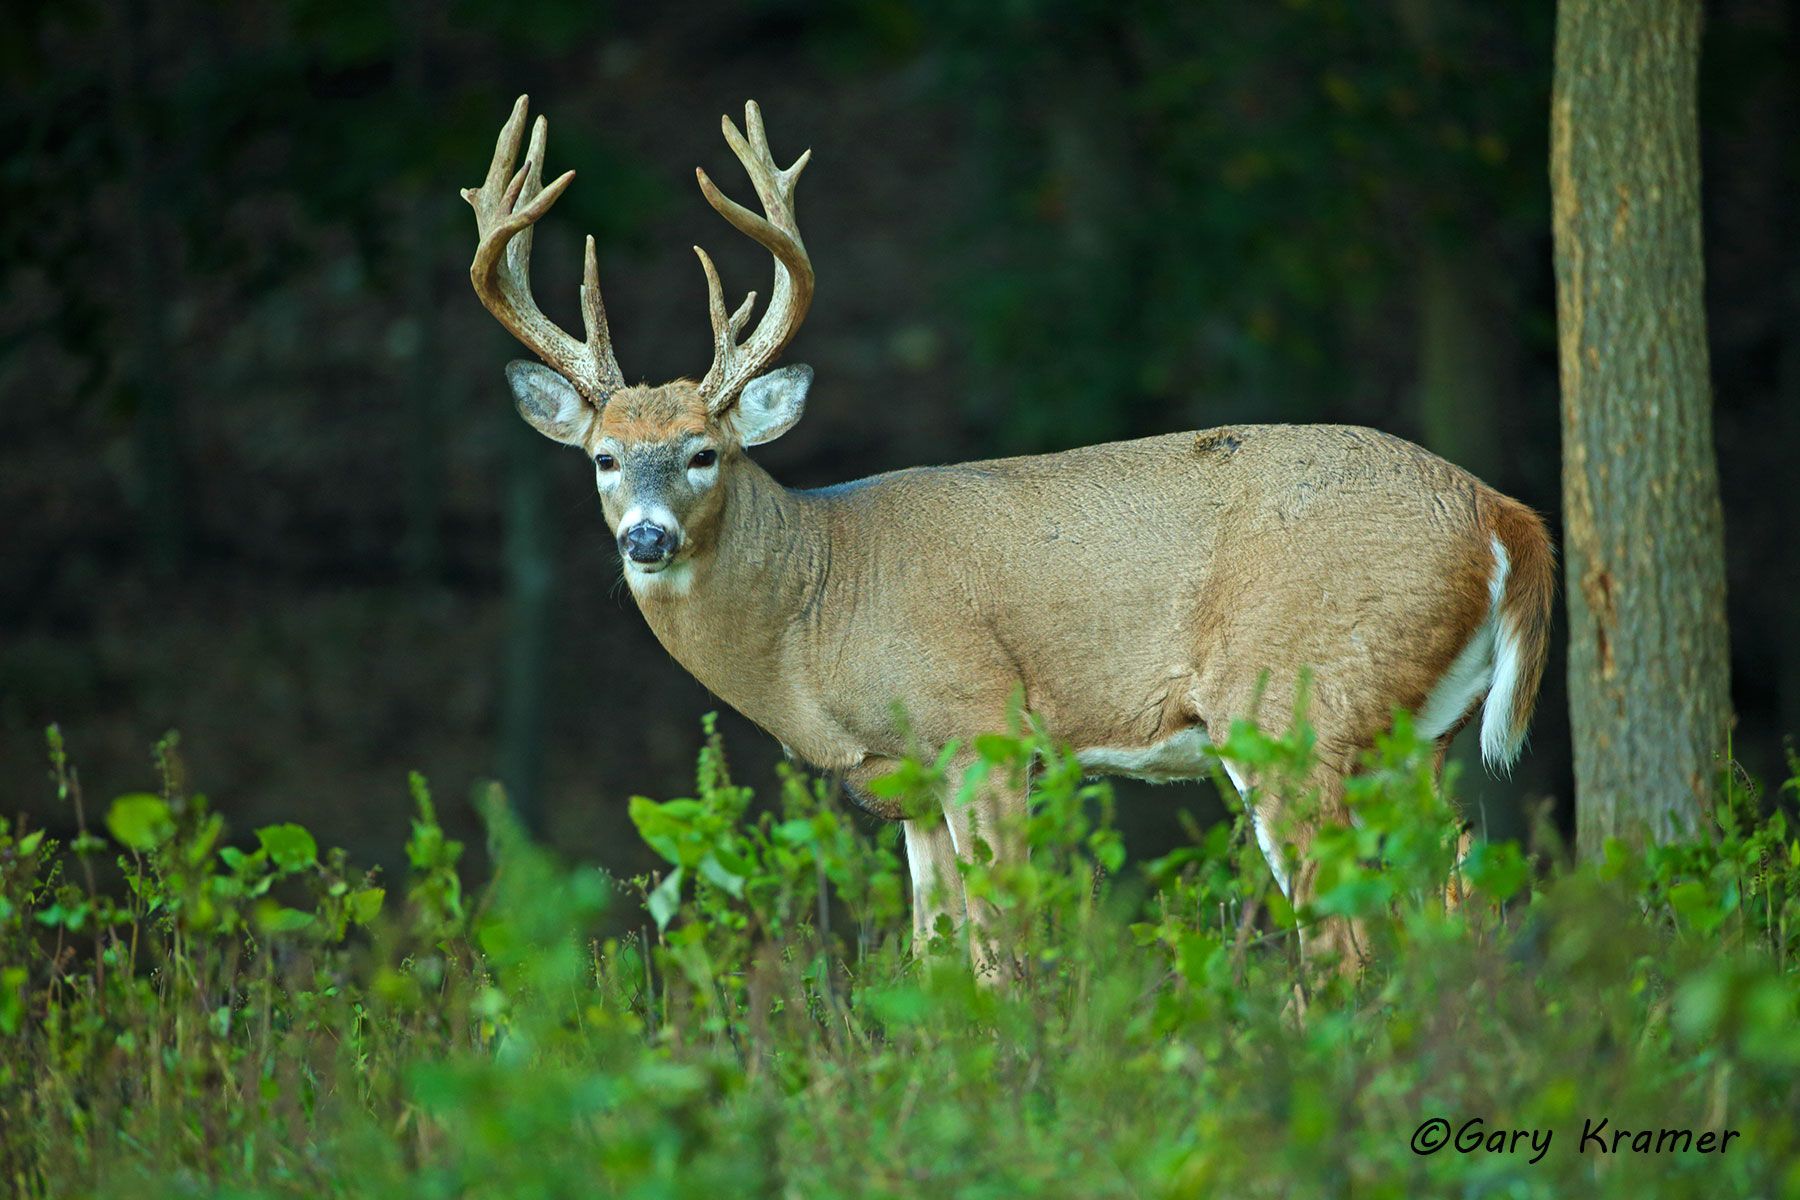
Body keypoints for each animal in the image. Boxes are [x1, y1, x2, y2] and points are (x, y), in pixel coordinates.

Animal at [462, 96, 1555, 977]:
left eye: (704, 453)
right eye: (604, 458)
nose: (645, 540)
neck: (818, 607)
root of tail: (1507, 517)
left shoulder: (981, 726)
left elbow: (1001, 953)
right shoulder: (905, 788)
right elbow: (933, 958)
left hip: (1294, 703)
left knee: (1348, 933)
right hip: (1417, 733)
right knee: (1456, 892)